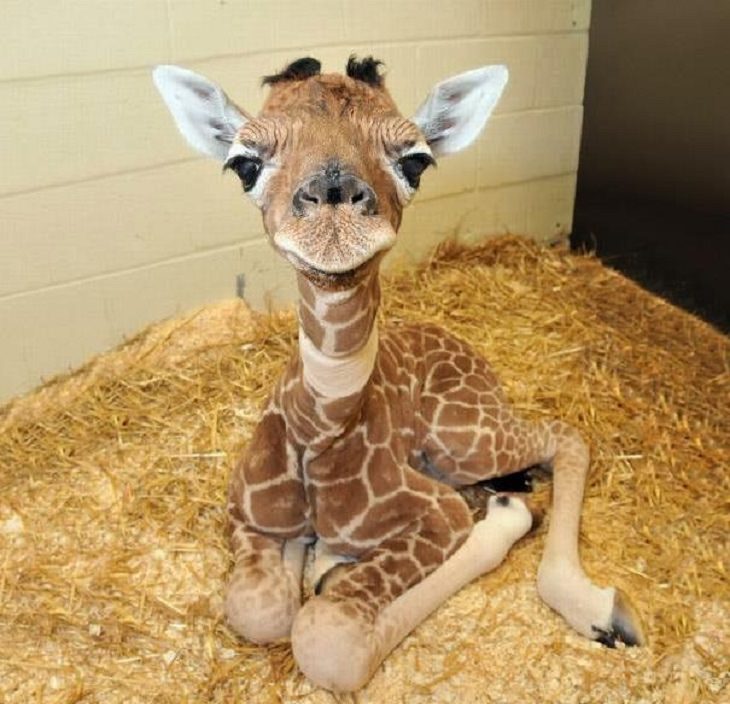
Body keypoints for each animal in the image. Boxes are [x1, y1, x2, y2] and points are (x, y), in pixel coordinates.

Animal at [152, 56, 636, 692]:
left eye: (415, 160)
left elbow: (327, 639)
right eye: (244, 163)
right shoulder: (246, 513)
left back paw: (594, 605)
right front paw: (311, 560)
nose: (333, 203)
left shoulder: (439, 513)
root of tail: (468, 351)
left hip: (463, 439)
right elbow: (261, 609)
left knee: (566, 436)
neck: (320, 430)